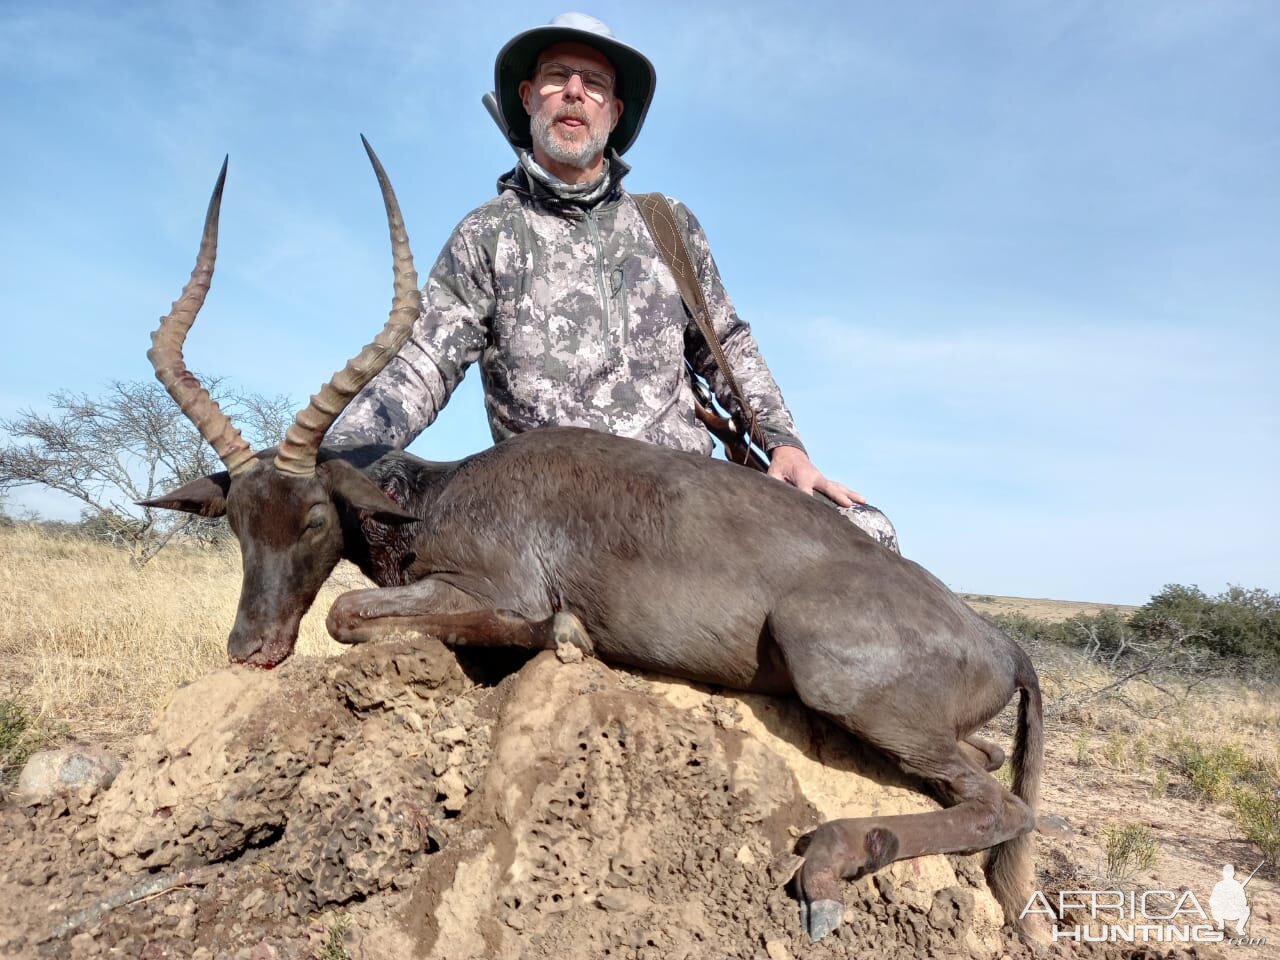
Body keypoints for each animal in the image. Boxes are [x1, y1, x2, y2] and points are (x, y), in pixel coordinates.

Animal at [142, 138, 1039, 942]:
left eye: (316, 518)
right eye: (238, 521)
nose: (251, 648)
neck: (442, 490)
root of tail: (1003, 645)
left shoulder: (488, 589)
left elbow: (353, 613)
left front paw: (566, 634)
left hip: (836, 680)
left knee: (1005, 806)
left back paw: (827, 863)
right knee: (990, 766)